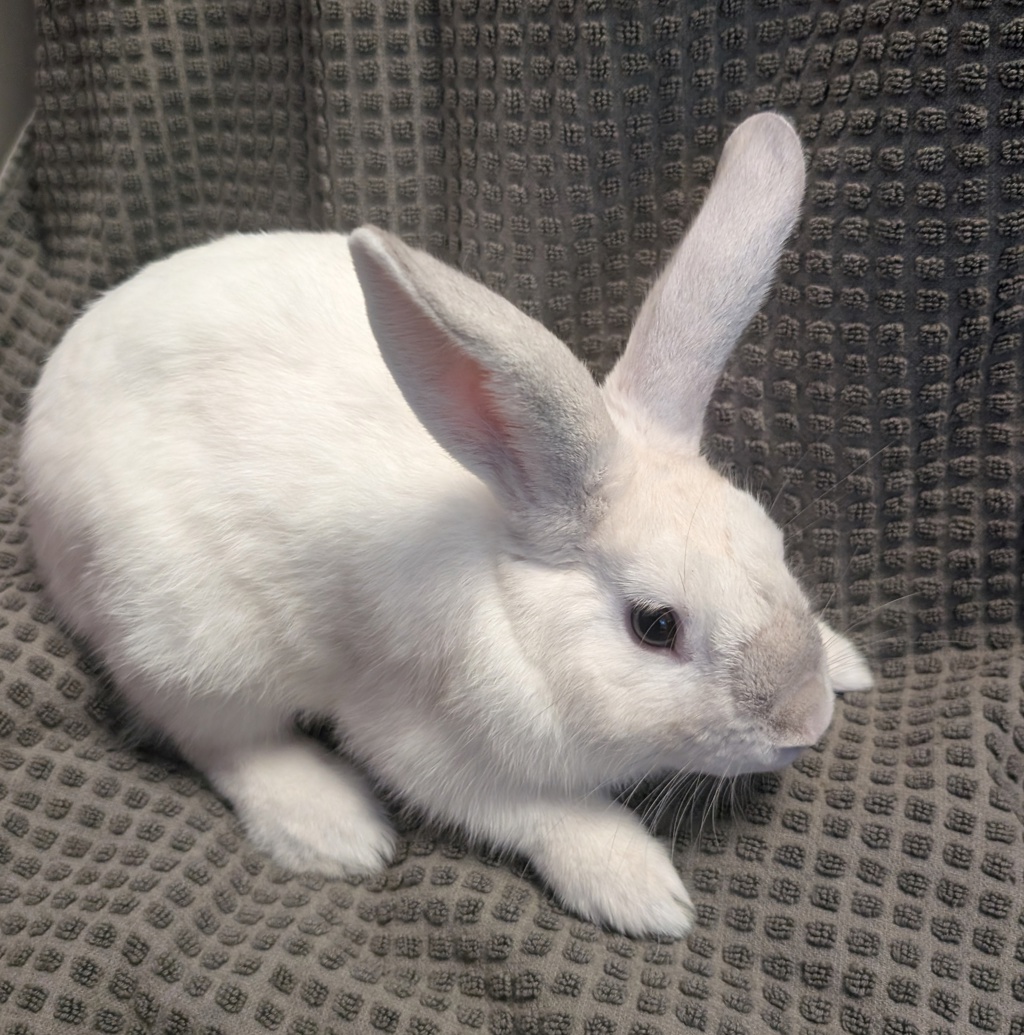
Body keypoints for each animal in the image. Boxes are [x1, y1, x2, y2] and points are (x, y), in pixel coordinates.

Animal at [20, 113, 872, 939]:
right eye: (655, 625)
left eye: (776, 544)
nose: (805, 720)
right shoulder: (426, 745)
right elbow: (541, 812)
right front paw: (638, 886)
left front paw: (844, 660)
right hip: (190, 641)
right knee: (214, 736)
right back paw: (330, 826)